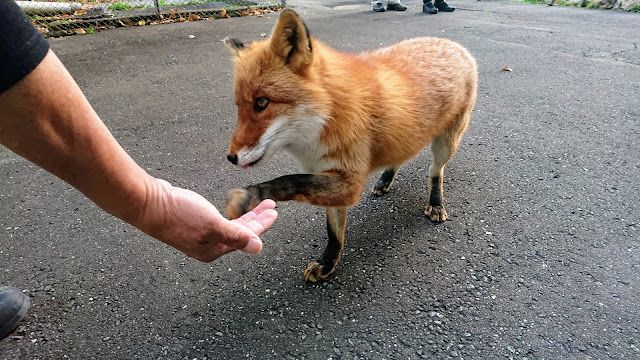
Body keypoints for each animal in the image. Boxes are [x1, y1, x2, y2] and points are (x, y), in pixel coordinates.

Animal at [222, 8, 478, 282]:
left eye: (262, 102)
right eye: (238, 106)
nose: (231, 157)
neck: (328, 117)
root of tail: (455, 45)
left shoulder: (350, 182)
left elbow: (290, 181)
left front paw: (252, 196)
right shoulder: (327, 174)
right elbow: (334, 232)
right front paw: (328, 263)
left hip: (446, 144)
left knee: (435, 171)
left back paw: (436, 201)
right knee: (400, 157)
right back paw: (385, 179)